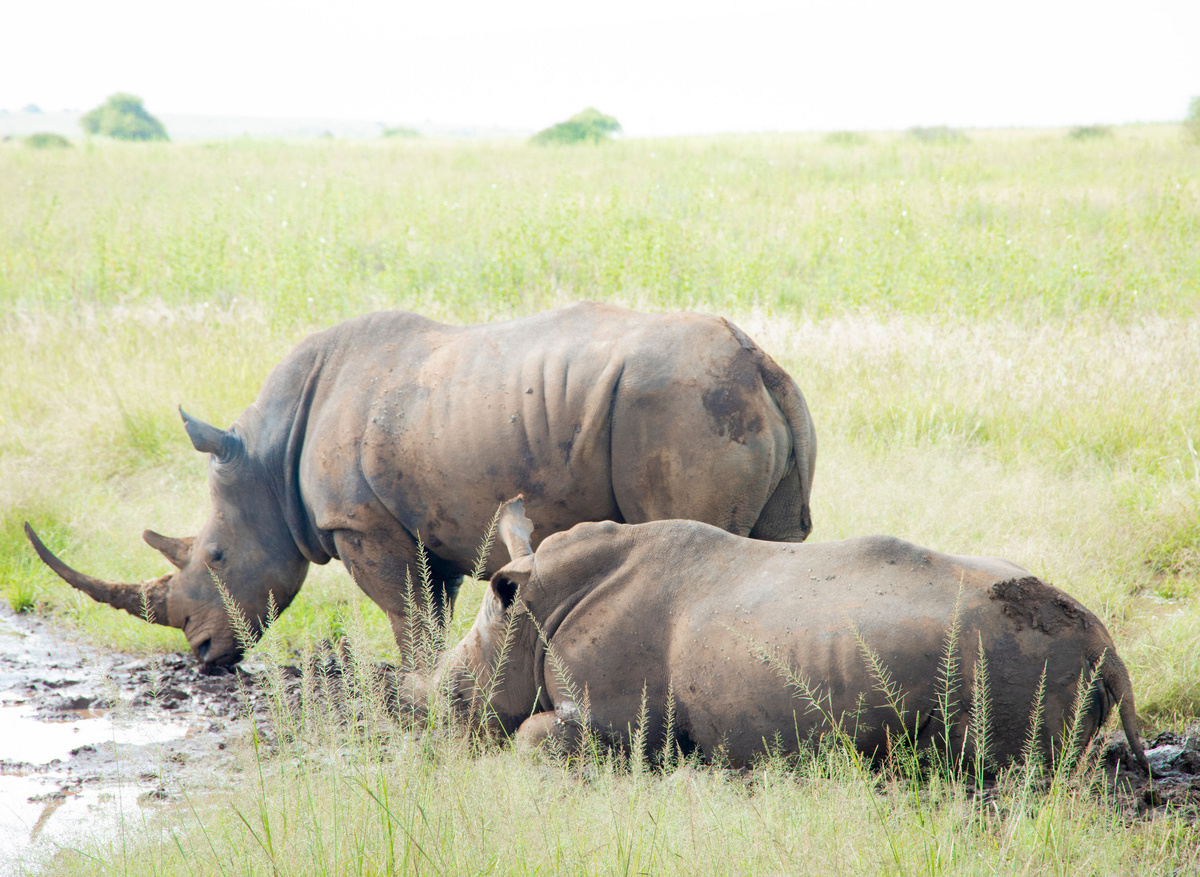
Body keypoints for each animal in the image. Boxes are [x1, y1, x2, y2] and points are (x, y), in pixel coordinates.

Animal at [26, 303, 816, 673]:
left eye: (215, 557)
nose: (201, 650)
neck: (267, 458)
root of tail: (759, 363)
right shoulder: (430, 521)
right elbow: (429, 609)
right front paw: (434, 682)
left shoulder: (361, 524)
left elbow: (403, 613)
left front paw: (414, 693)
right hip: (736, 399)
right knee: (779, 548)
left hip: (682, 405)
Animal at [426, 499, 1148, 774]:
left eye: (457, 693)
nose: (430, 717)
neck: (535, 605)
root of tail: (1105, 645)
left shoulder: (617, 720)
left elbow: (532, 735)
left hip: (1017, 653)